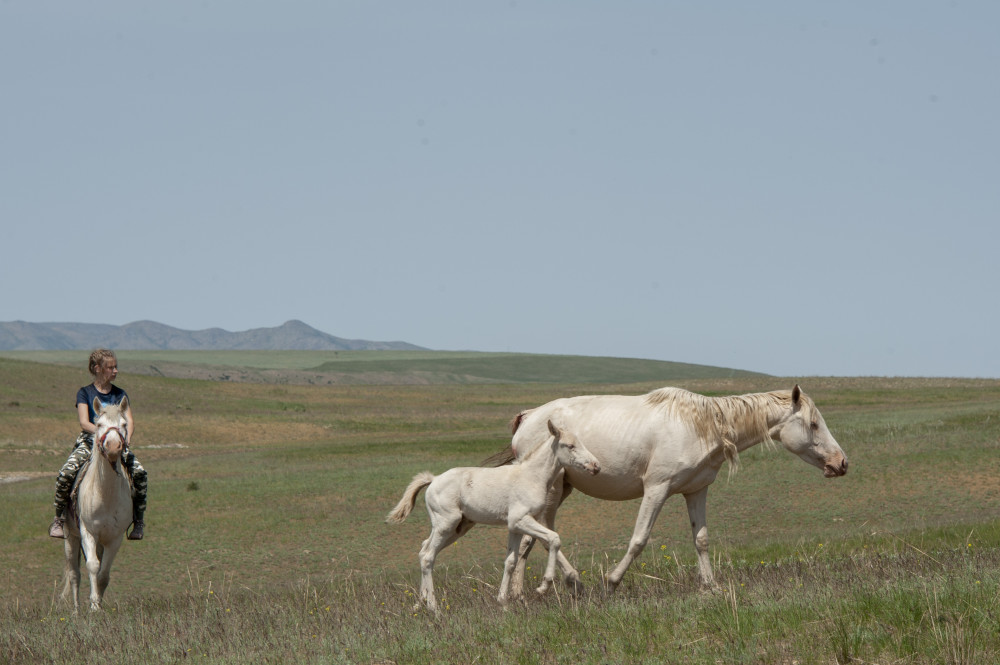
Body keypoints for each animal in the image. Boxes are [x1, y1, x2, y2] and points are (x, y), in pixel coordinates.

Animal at [62, 396, 134, 608]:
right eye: (99, 424)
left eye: (124, 424)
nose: (113, 447)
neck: (105, 495)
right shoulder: (88, 532)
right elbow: (92, 566)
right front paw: (93, 606)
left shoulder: (114, 538)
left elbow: (103, 574)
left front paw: (99, 605)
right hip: (70, 537)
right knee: (74, 575)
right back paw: (76, 611)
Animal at [386, 420, 596, 612]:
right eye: (570, 445)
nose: (595, 466)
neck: (532, 477)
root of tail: (434, 479)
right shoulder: (520, 519)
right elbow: (553, 538)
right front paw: (543, 586)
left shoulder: (515, 526)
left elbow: (510, 561)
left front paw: (503, 602)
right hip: (446, 524)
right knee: (428, 556)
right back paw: (434, 608)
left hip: (458, 527)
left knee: (424, 550)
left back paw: (418, 604)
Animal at [496, 386, 848, 592]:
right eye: (813, 424)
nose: (841, 462)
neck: (702, 425)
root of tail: (528, 417)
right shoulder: (656, 489)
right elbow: (639, 539)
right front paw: (612, 581)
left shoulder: (697, 491)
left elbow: (701, 540)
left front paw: (711, 587)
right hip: (553, 490)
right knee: (538, 537)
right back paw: (561, 583)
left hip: (561, 490)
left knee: (533, 538)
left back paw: (526, 594)